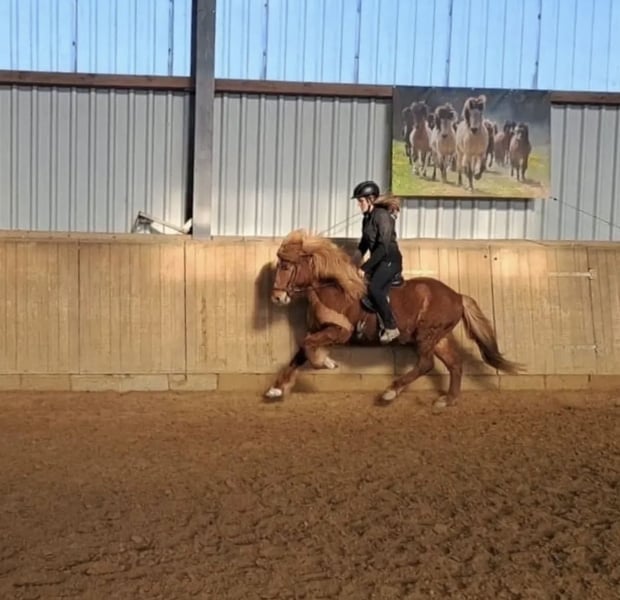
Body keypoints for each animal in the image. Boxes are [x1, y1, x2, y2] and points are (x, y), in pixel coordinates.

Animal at [266, 227, 524, 409]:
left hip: (427, 336)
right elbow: (301, 351)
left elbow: (308, 347)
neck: (334, 289)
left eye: (286, 266)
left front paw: (326, 362)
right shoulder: (318, 330)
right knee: (455, 365)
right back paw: (446, 400)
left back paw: (390, 392)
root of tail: (458, 296)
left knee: (426, 364)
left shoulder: (340, 332)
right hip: (439, 337)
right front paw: (276, 389)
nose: (277, 297)